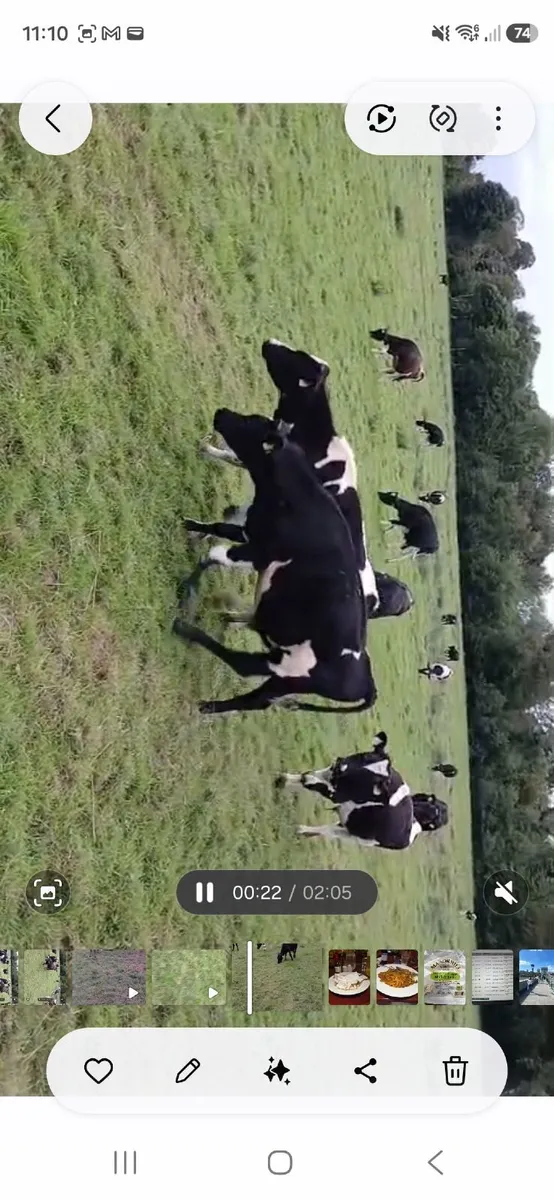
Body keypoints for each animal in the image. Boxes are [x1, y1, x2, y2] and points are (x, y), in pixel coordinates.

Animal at [175, 412, 377, 715]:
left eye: (250, 424)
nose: (221, 412)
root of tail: (365, 677)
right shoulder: (250, 531)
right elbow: (220, 529)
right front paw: (190, 527)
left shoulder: (258, 552)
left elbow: (214, 554)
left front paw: (188, 590)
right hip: (285, 679)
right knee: (255, 700)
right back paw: (208, 706)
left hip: (289, 667)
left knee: (243, 665)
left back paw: (185, 630)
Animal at [276, 731, 449, 849]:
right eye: (366, 757)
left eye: (370, 778)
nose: (341, 766)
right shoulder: (331, 774)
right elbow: (307, 777)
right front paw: (283, 780)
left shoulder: (337, 794)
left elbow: (311, 783)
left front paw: (299, 830)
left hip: (361, 838)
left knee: (330, 831)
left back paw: (304, 831)